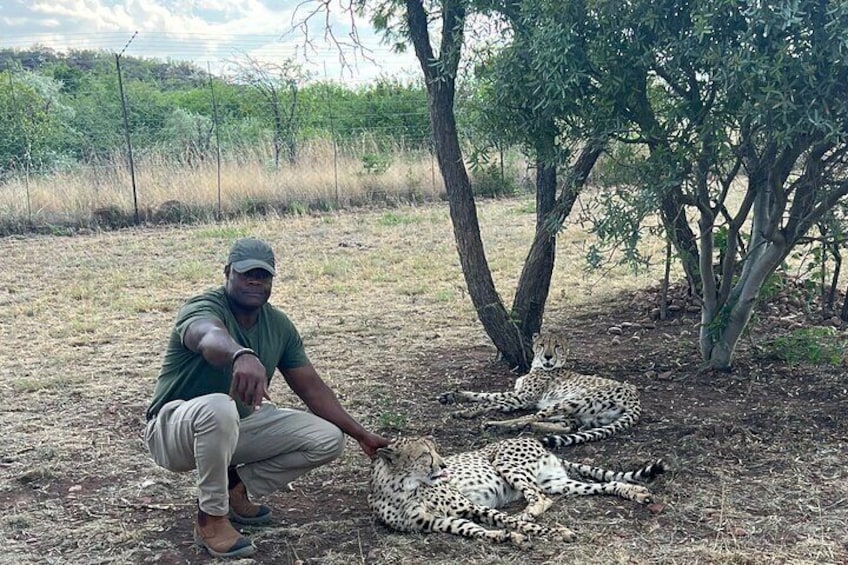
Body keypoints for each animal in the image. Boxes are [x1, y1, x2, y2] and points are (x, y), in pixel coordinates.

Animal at [370, 434, 576, 544]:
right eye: (425, 454)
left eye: (436, 451)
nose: (444, 466)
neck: (405, 490)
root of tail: (537, 442)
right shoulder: (437, 521)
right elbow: (470, 528)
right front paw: (501, 535)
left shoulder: (470, 506)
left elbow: (510, 521)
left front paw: (557, 533)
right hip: (553, 481)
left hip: (505, 463)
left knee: (541, 497)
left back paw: (525, 514)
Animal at [440, 328, 640, 448]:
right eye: (541, 345)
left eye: (557, 346)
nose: (548, 357)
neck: (538, 366)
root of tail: (635, 396)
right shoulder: (517, 393)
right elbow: (485, 395)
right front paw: (451, 395)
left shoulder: (523, 398)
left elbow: (488, 402)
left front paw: (466, 411)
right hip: (581, 415)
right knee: (566, 426)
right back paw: (532, 427)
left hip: (572, 400)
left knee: (529, 417)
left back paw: (497, 425)